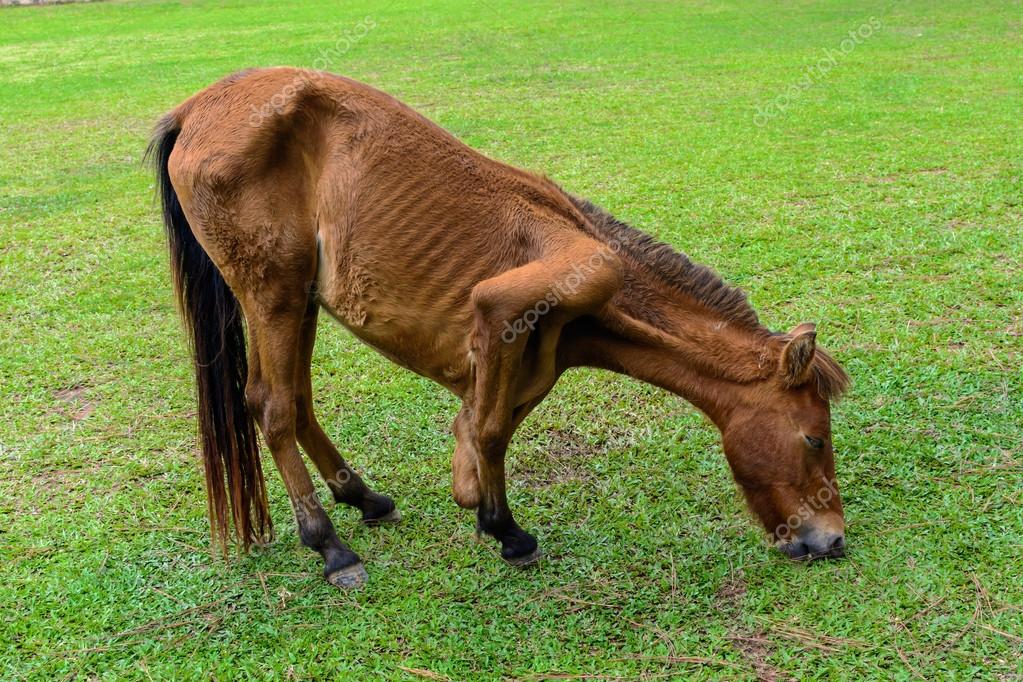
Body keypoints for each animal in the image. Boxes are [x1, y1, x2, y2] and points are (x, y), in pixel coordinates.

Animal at [146, 68, 850, 589]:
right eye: (814, 438)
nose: (833, 540)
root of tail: (194, 108)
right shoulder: (506, 310)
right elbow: (487, 430)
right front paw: (507, 531)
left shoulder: (526, 356)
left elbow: (484, 430)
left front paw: (482, 510)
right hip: (274, 294)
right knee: (272, 406)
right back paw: (330, 546)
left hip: (299, 301)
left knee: (295, 400)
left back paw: (363, 498)